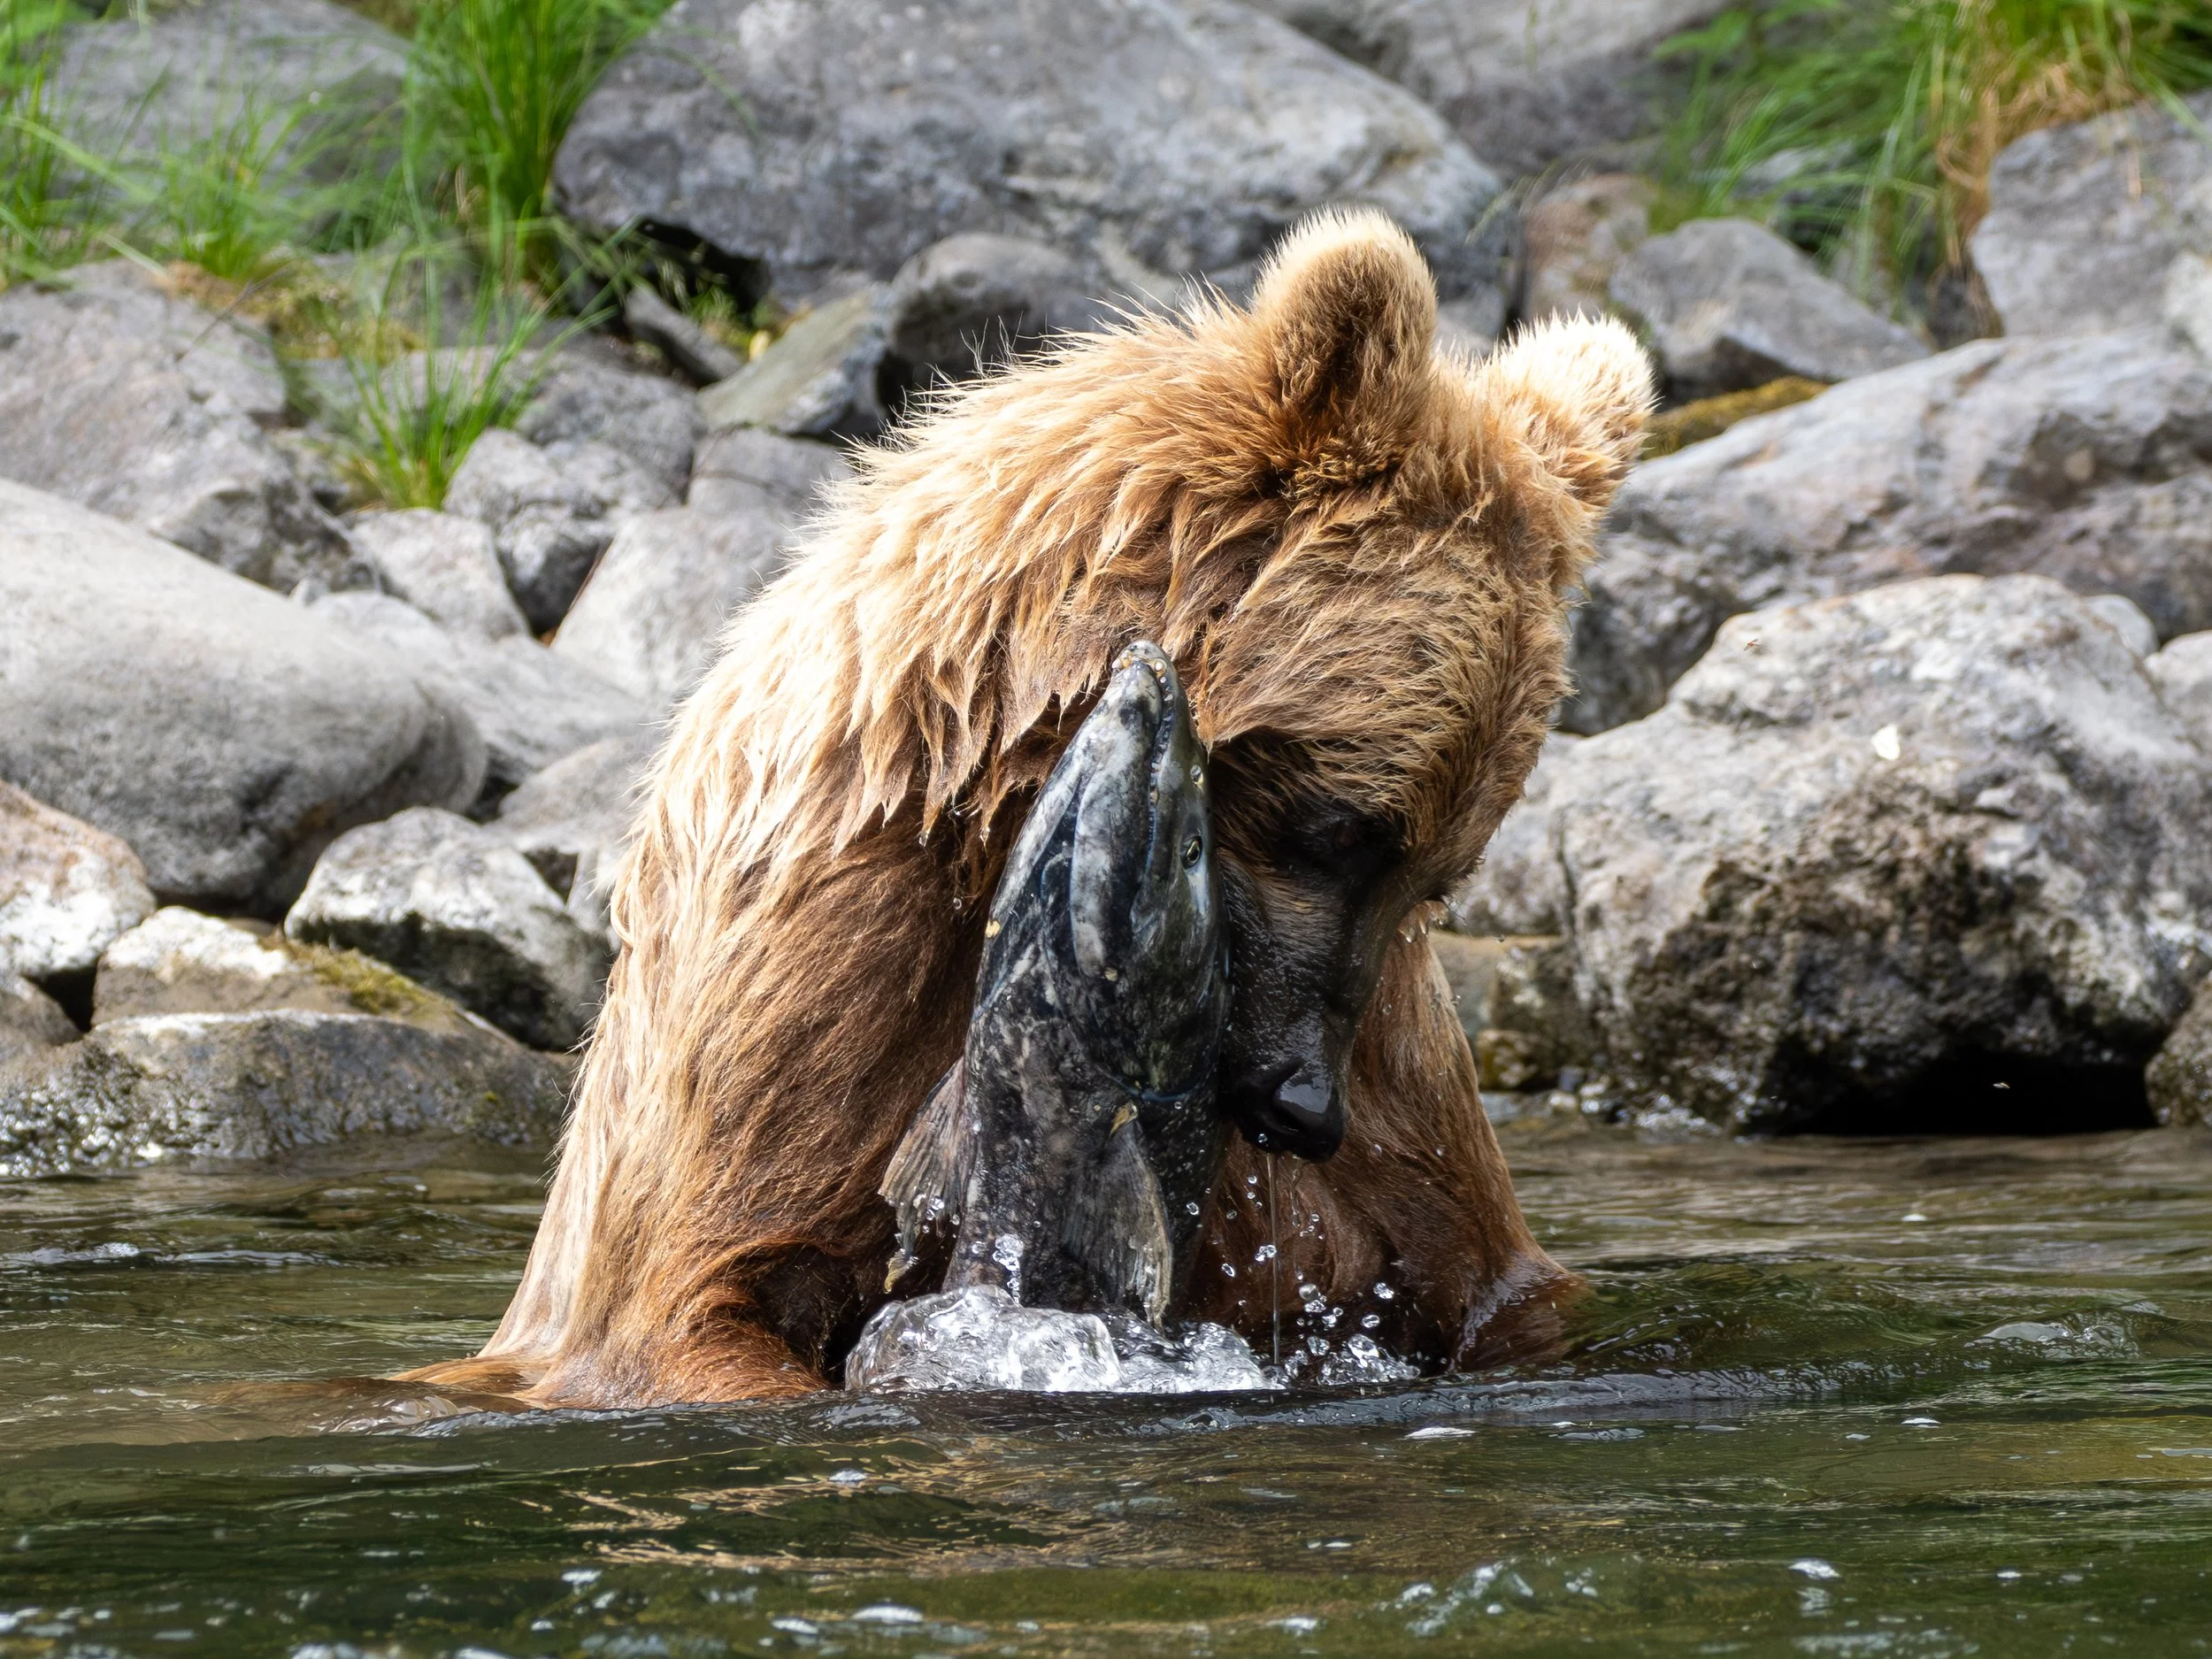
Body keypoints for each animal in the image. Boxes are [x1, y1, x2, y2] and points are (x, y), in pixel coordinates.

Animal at [407, 208, 1654, 1406]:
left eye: (1440, 875)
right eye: (1336, 826)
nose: (1301, 1101)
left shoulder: (1391, 1097)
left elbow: (1477, 1266)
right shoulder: (821, 980)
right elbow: (712, 1285)